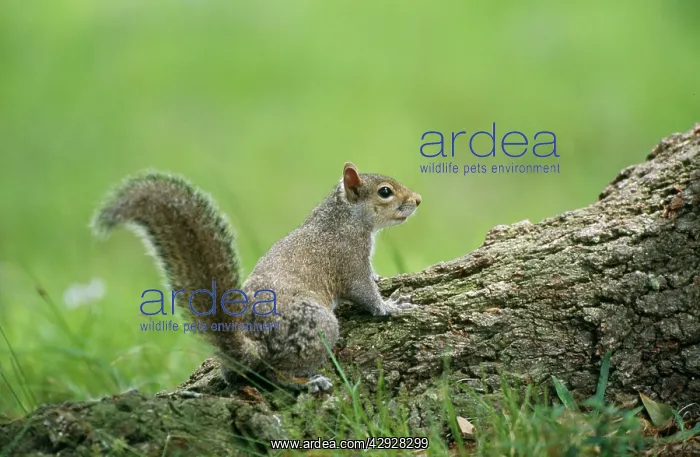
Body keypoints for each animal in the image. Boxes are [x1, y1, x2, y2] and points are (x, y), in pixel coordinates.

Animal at [91, 162, 422, 392]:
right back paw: (306, 383)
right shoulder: (348, 259)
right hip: (318, 328)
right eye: (385, 191)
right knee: (276, 372)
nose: (418, 199)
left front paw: (380, 280)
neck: (342, 219)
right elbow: (364, 292)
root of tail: (256, 346)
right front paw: (391, 306)